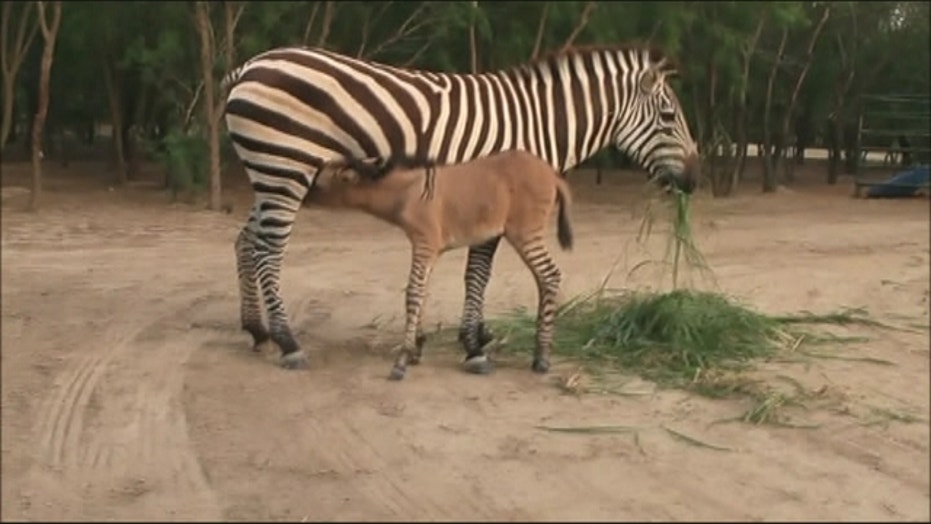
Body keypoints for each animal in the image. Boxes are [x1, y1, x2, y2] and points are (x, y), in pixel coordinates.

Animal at [223, 44, 700, 371]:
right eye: (669, 117)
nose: (695, 181)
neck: (539, 125)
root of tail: (249, 66)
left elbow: (473, 274)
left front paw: (475, 336)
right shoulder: (494, 204)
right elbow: (478, 274)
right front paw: (472, 344)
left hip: (269, 172)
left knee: (246, 241)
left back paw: (256, 330)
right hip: (285, 169)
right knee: (268, 251)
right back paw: (288, 341)